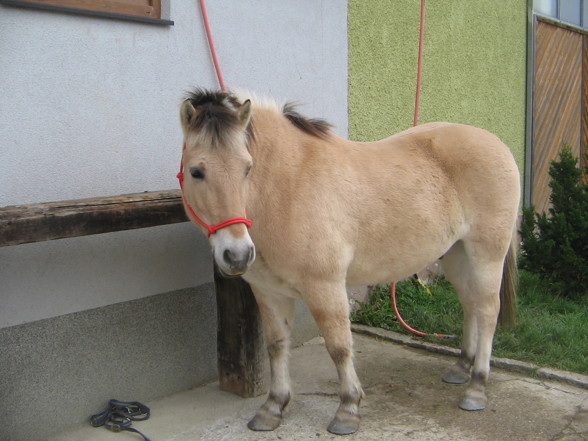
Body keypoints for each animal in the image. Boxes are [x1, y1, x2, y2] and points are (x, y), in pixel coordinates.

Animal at [178, 87, 520, 434]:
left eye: (247, 168)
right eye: (196, 172)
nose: (237, 254)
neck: (288, 186)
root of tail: (496, 143)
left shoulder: (325, 287)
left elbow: (339, 347)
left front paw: (348, 409)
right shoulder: (268, 292)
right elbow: (276, 345)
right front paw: (273, 407)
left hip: (487, 254)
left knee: (488, 311)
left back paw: (476, 387)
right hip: (456, 254)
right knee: (471, 305)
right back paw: (462, 368)